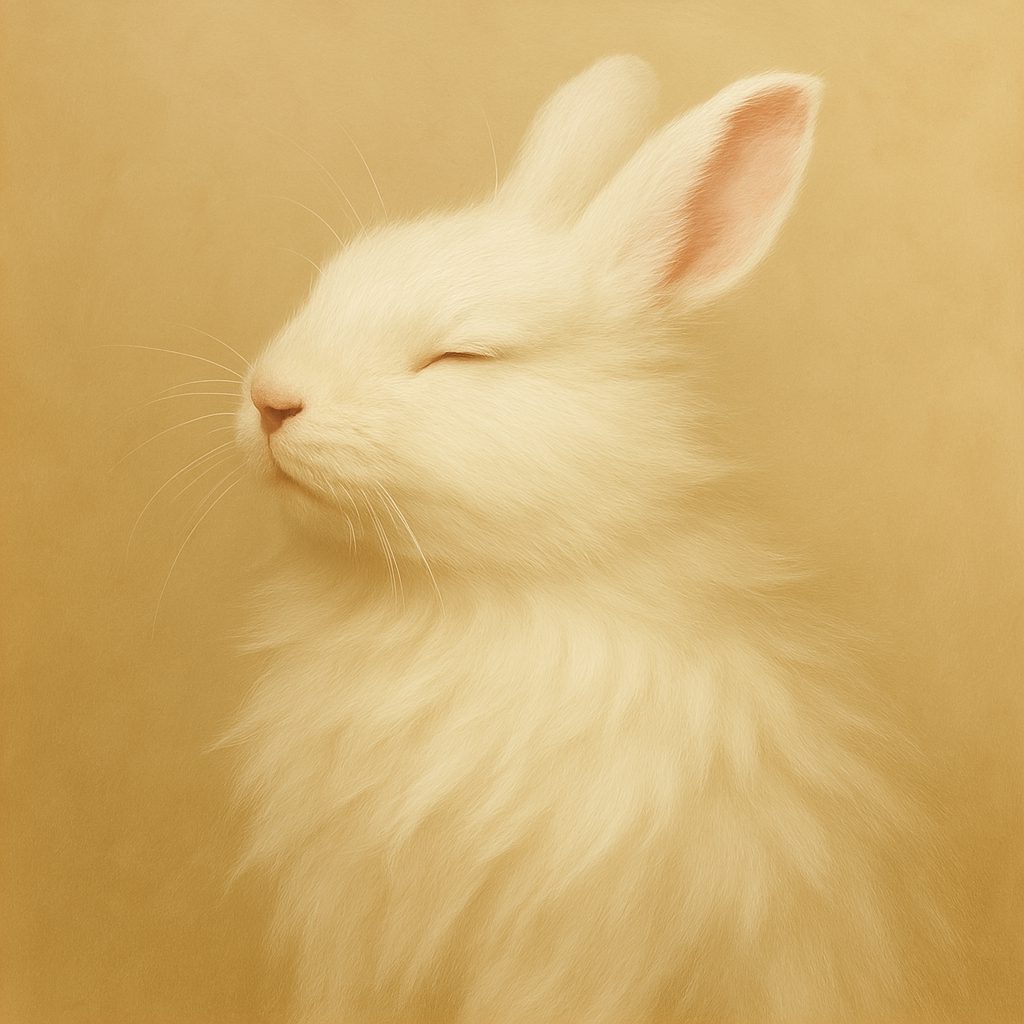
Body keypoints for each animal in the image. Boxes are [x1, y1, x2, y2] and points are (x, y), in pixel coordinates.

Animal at [226, 56, 951, 1024]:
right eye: (327, 285)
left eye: (461, 358)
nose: (272, 399)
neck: (448, 592)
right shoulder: (346, 924)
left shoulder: (560, 949)